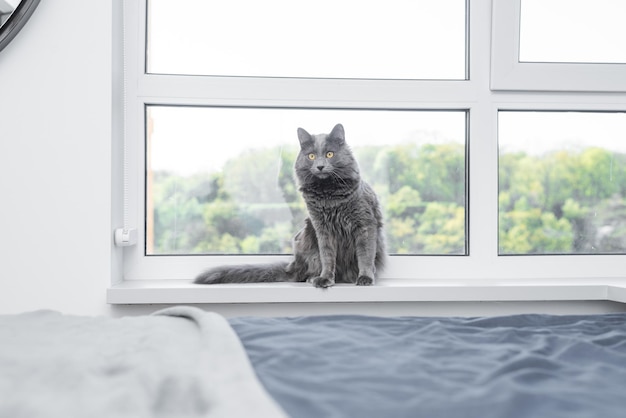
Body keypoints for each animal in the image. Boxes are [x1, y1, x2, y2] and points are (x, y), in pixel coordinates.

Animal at [193, 124, 382, 288]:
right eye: (311, 156)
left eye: (330, 154)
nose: (320, 166)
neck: (328, 194)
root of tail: (293, 266)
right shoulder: (322, 229)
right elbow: (327, 257)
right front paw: (325, 279)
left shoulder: (364, 224)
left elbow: (365, 255)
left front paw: (365, 278)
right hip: (307, 237)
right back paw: (313, 278)